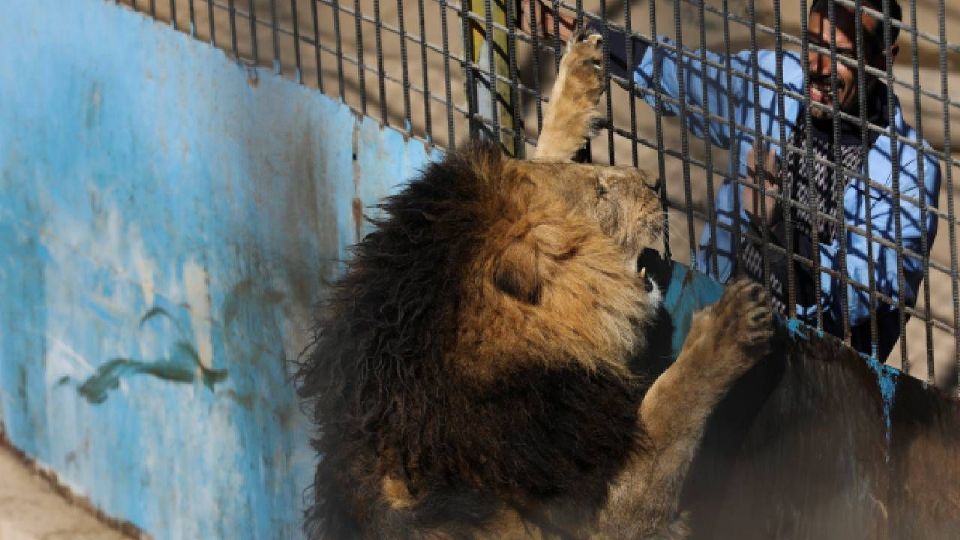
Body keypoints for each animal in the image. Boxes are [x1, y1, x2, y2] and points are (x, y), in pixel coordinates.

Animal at [298, 34, 772, 540]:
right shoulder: (583, 505)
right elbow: (669, 408)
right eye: (601, 192)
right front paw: (728, 329)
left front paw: (578, 76)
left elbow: (532, 160)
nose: (657, 183)